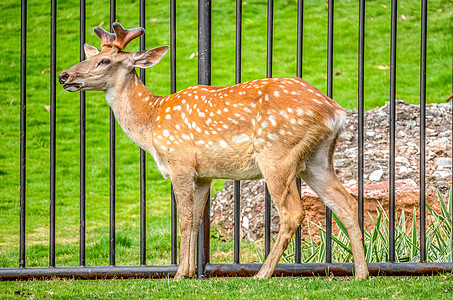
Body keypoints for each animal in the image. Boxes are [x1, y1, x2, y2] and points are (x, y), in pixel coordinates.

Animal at [58, 22, 370, 278]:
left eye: (104, 60)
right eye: (89, 56)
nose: (64, 75)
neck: (151, 121)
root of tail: (335, 112)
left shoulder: (179, 163)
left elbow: (184, 219)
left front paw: (178, 275)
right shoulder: (204, 175)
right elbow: (197, 219)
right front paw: (189, 272)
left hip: (277, 153)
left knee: (293, 212)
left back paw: (262, 274)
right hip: (316, 158)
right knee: (345, 202)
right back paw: (361, 274)